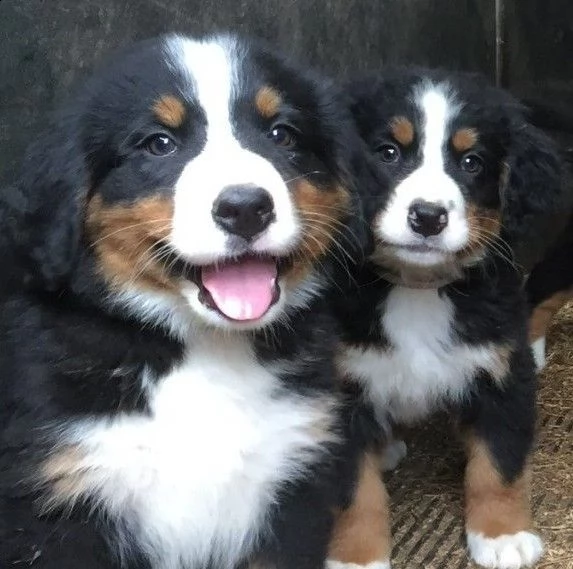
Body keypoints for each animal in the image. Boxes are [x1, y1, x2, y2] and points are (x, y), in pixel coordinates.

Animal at [0, 33, 374, 568]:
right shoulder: (60, 508)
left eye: (282, 135)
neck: (205, 351)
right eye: (159, 144)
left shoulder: (293, 487)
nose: (245, 207)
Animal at [326, 67, 568, 568]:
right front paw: (357, 557)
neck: (419, 289)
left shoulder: (502, 371)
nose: (428, 216)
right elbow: (354, 493)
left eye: (472, 162)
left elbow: (498, 465)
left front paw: (502, 535)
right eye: (388, 152)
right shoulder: (340, 391)